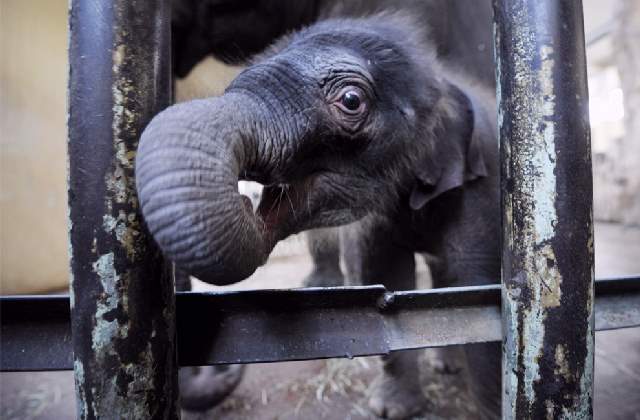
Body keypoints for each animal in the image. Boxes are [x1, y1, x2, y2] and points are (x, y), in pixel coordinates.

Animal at [138, 13, 502, 420]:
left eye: (351, 101)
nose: (246, 199)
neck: (439, 81)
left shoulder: (481, 193)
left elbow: (482, 296)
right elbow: (387, 276)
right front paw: (392, 409)